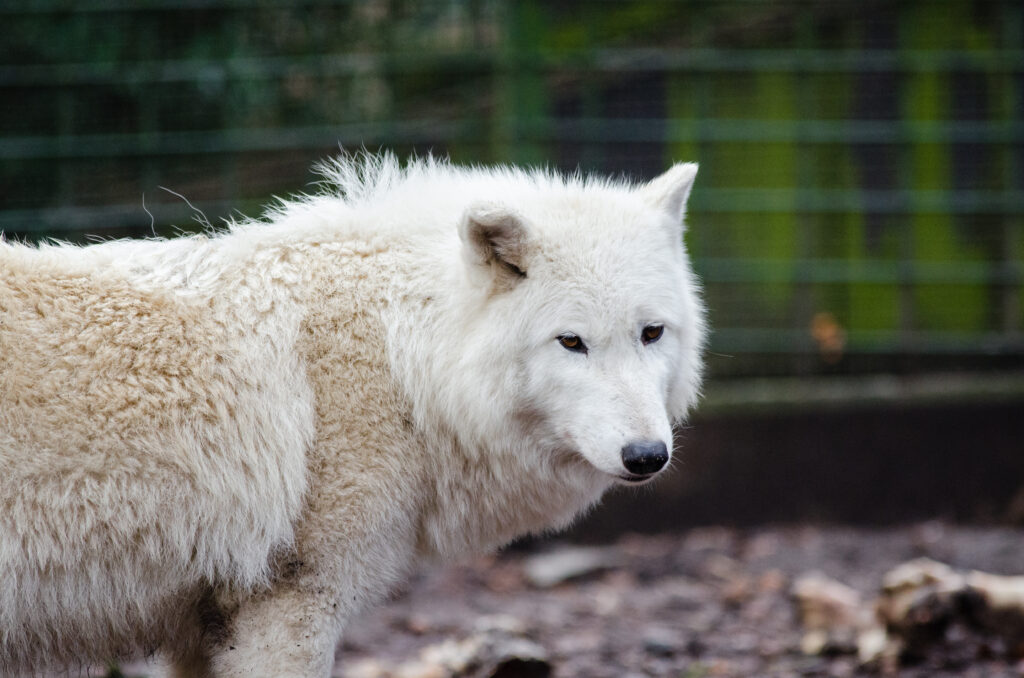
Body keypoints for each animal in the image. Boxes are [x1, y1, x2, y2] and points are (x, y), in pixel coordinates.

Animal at [0, 152, 705, 676]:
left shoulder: (205, 627)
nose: (647, 456)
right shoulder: (290, 606)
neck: (403, 361)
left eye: (651, 333)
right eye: (572, 342)